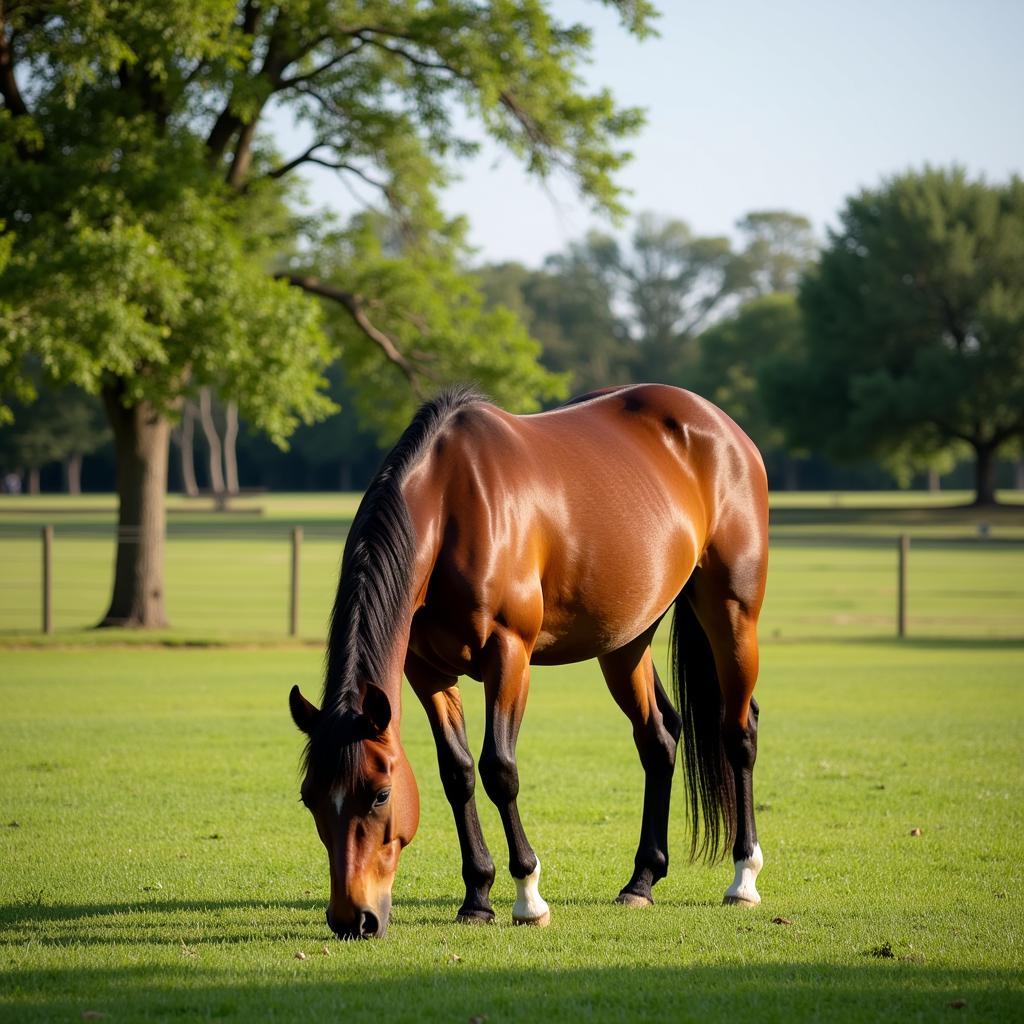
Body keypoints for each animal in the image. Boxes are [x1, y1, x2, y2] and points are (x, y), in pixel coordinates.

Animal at [288, 382, 770, 937]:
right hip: (626, 641)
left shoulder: (509, 653)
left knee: (739, 732)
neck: (453, 506)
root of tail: (719, 425)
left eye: (381, 794)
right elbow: (457, 772)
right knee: (659, 738)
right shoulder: (426, 671)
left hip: (732, 614)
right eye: (309, 795)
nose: (353, 919)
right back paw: (641, 881)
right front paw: (477, 897)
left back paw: (743, 878)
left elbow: (499, 769)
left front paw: (528, 896)